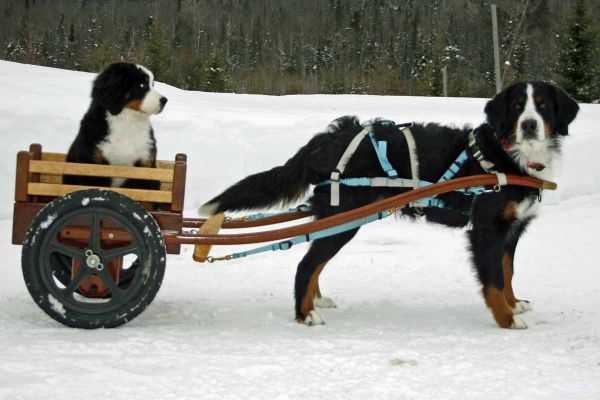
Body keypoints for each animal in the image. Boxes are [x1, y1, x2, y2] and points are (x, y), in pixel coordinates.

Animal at [64, 61, 168, 189]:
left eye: (152, 84)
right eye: (142, 85)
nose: (164, 100)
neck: (128, 122)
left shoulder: (146, 164)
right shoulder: (92, 165)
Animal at [199, 81, 580, 328]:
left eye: (543, 105)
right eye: (517, 106)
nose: (528, 125)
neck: (506, 155)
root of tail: (331, 136)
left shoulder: (513, 227)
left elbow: (507, 271)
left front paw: (515, 305)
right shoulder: (487, 228)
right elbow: (493, 280)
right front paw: (505, 317)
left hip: (340, 219)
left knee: (314, 262)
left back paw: (316, 300)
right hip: (344, 216)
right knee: (306, 264)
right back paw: (304, 314)